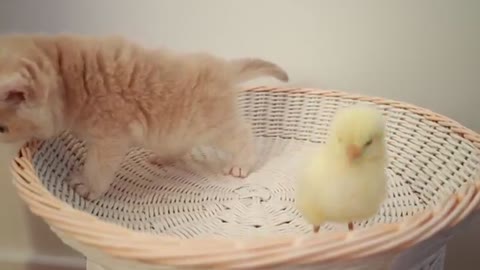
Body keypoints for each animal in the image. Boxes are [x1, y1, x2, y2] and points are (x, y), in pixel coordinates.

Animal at [0, 34, 288, 200]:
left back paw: (241, 163)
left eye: (1, 129)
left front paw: (88, 187)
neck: (68, 79)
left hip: (215, 126)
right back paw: (165, 157)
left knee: (243, 134)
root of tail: (223, 66)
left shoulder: (110, 137)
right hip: (180, 127)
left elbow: (97, 167)